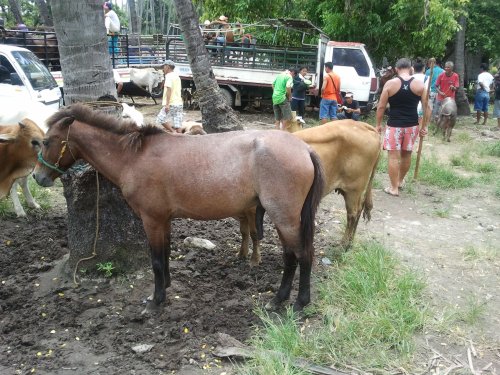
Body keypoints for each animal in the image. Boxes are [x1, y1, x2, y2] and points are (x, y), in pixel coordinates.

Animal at [34, 104, 324, 312]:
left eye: (47, 141)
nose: (38, 177)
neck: (134, 157)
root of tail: (305, 149)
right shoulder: (164, 220)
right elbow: (164, 255)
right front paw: (166, 288)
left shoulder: (151, 220)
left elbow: (155, 260)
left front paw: (155, 301)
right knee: (291, 256)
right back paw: (279, 299)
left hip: (284, 217)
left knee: (302, 255)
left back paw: (298, 302)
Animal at [237, 122, 378, 266]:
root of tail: (363, 125)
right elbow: (244, 231)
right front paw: (242, 253)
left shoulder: (251, 209)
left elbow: (253, 233)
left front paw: (254, 260)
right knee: (359, 210)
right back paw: (350, 242)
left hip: (353, 189)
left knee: (353, 214)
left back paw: (344, 245)